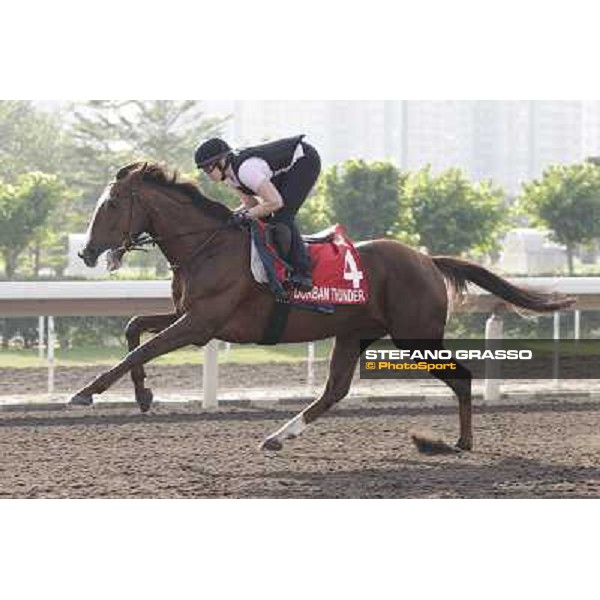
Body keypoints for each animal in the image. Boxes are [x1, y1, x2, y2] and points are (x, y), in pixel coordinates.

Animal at [74, 162, 572, 452]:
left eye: (112, 203)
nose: (87, 252)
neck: (206, 245)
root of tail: (428, 259)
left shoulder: (201, 324)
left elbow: (140, 347)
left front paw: (86, 391)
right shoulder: (190, 317)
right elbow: (134, 328)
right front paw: (143, 395)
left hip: (416, 336)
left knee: (462, 378)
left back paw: (463, 442)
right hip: (355, 333)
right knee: (335, 390)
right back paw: (278, 436)